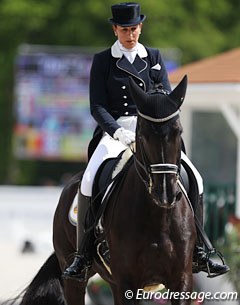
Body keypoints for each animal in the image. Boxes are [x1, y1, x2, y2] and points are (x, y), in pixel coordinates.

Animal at [12, 75, 197, 304]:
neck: (158, 217)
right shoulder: (127, 282)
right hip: (75, 277)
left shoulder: (181, 280)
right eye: (142, 135)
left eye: (178, 131)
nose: (165, 193)